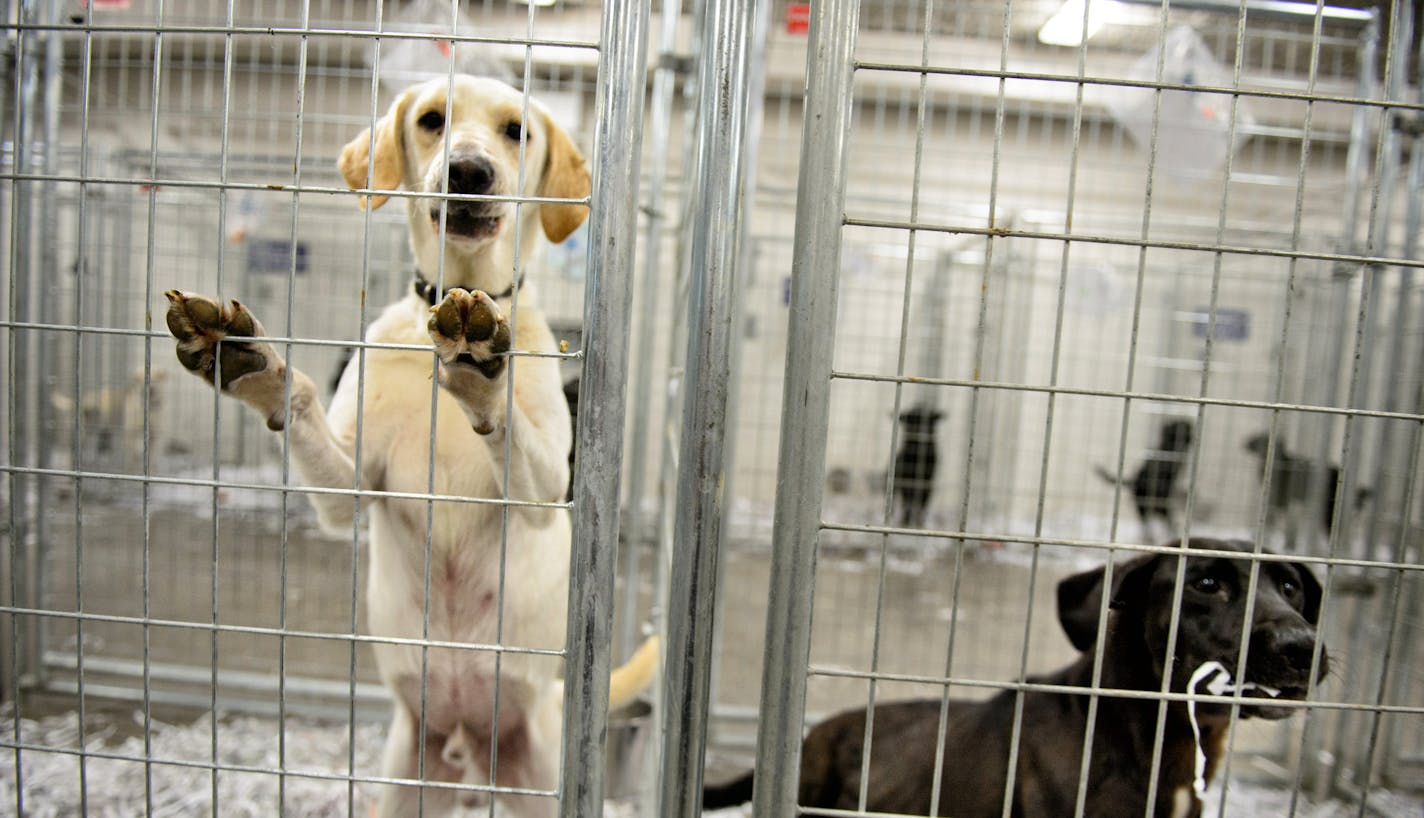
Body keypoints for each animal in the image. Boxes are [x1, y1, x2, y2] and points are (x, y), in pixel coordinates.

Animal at [163, 73, 657, 815]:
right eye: (431, 120)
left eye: (517, 129)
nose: (469, 171)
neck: (458, 294)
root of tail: (468, 745)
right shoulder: (345, 492)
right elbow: (299, 403)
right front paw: (253, 363)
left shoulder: (545, 493)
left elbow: (508, 425)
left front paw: (482, 370)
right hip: (404, 775)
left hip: (541, 773)